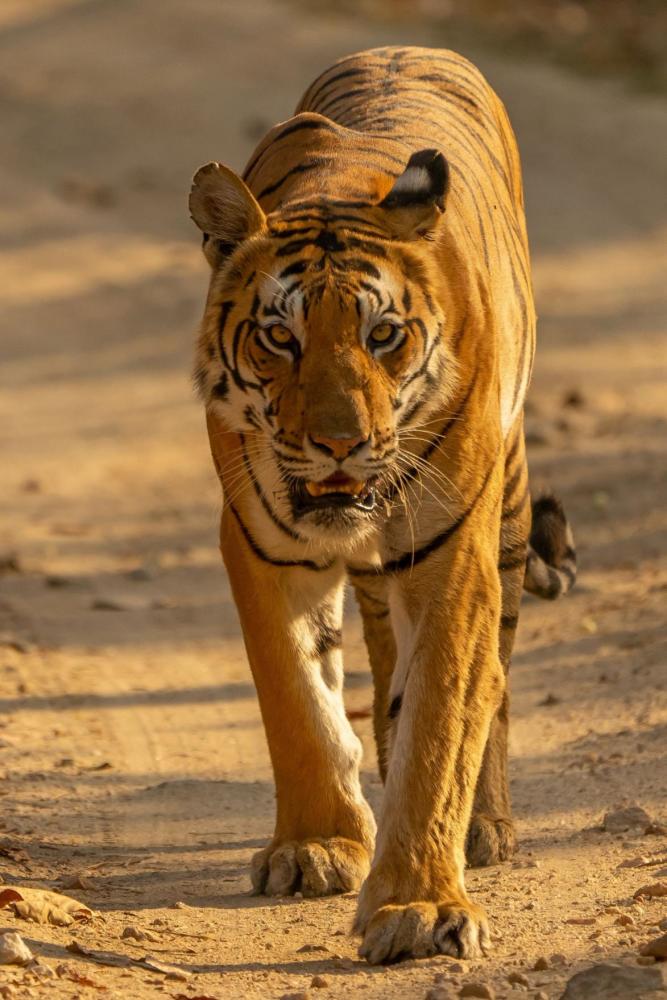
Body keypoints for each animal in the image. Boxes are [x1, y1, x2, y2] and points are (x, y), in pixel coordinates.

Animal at [187, 45, 576, 960]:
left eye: (382, 335)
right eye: (280, 336)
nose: (338, 442)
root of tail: (410, 46)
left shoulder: (453, 558)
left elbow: (443, 714)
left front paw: (419, 905)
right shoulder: (260, 545)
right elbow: (295, 697)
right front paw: (316, 845)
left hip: (507, 513)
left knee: (494, 674)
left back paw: (485, 826)